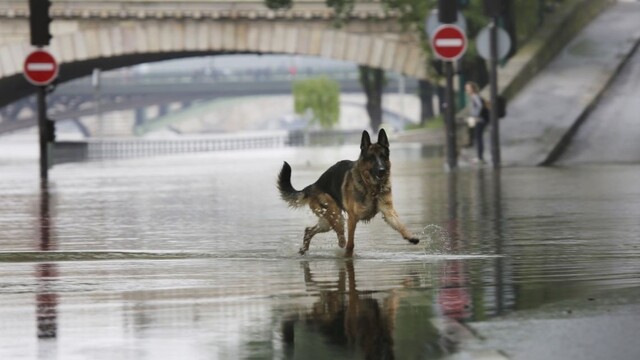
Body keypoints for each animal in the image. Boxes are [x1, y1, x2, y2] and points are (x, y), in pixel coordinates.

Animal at [276, 129, 420, 256]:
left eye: (383, 156)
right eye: (371, 158)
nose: (382, 170)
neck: (370, 187)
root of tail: (313, 185)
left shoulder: (388, 212)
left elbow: (401, 226)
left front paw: (411, 236)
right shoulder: (352, 218)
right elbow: (350, 244)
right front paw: (348, 255)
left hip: (328, 221)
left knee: (309, 230)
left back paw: (303, 250)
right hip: (336, 216)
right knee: (340, 238)